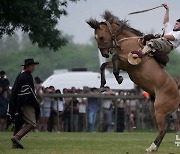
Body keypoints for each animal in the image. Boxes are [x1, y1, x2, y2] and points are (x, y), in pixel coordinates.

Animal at [86, 10, 179, 152]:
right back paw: (153, 147)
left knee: (163, 130)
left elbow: (114, 58)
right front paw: (103, 85)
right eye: (96, 37)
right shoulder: (123, 64)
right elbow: (105, 65)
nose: (104, 54)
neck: (127, 42)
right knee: (161, 129)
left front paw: (118, 78)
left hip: (160, 110)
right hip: (153, 110)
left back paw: (152, 147)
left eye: (101, 37)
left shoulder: (128, 62)